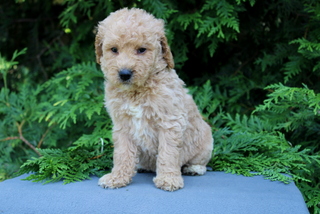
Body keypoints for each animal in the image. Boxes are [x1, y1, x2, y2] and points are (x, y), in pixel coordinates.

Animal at [95, 7, 215, 191]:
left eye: (142, 50)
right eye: (114, 49)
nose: (124, 74)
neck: (137, 91)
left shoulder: (170, 121)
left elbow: (168, 153)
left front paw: (168, 179)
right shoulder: (122, 125)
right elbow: (122, 153)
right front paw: (118, 177)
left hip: (206, 141)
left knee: (201, 162)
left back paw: (194, 168)